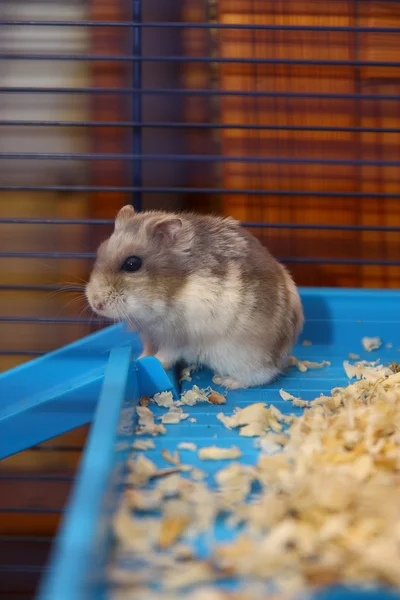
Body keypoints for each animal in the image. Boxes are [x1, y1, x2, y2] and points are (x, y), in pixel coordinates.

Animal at [85, 204, 304, 392]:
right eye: (99, 252)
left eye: (132, 264)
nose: (96, 304)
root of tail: (284, 356)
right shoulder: (149, 333)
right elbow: (148, 350)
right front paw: (140, 359)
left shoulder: (176, 337)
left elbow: (164, 356)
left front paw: (152, 362)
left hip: (243, 356)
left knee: (263, 375)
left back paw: (227, 382)